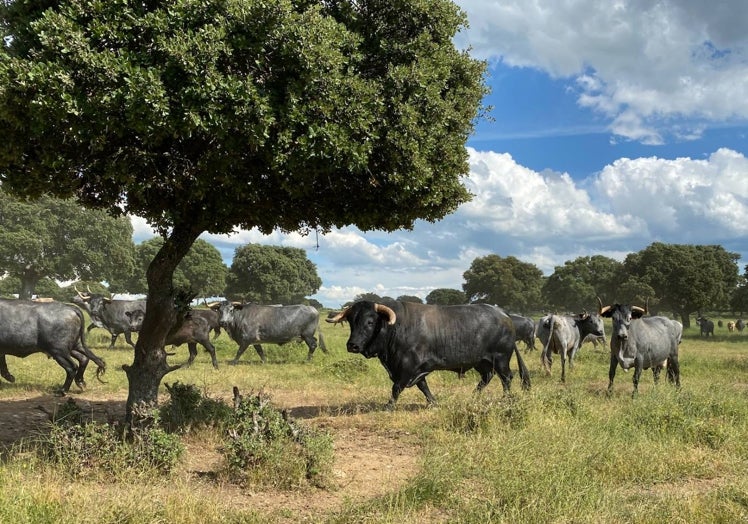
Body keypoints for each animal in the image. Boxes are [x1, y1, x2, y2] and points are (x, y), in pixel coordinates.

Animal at [324, 300, 528, 408]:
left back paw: (505, 399)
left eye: (370, 321)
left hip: (500, 358)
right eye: (351, 321)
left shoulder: (408, 366)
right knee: (487, 377)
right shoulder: (414, 369)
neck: (396, 328)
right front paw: (433, 402)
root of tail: (504, 314)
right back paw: (473, 395)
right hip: (482, 362)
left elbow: (397, 387)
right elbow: (422, 386)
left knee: (506, 378)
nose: (352, 345)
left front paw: (390, 405)